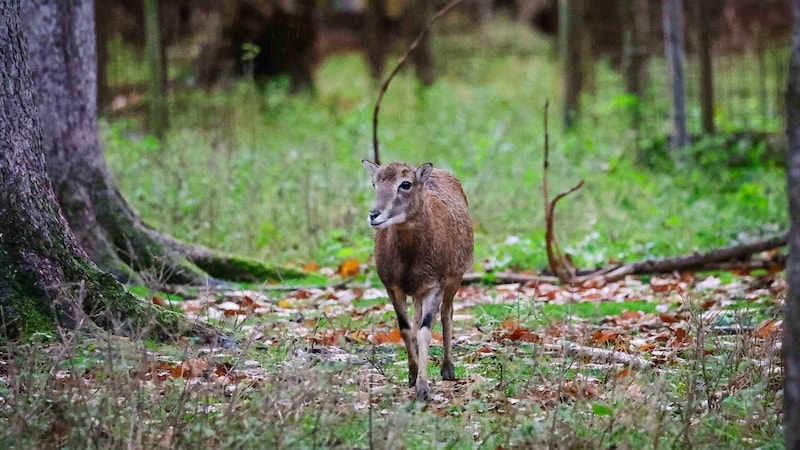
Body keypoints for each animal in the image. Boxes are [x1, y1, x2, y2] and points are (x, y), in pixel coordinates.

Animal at [360, 161, 472, 400]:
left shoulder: (436, 284)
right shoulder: (392, 286)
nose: (374, 215)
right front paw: (412, 376)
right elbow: (405, 328)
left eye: (405, 184)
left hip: (454, 279)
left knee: (447, 314)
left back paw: (448, 369)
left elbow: (425, 331)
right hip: (417, 292)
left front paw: (423, 389)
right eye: (375, 183)